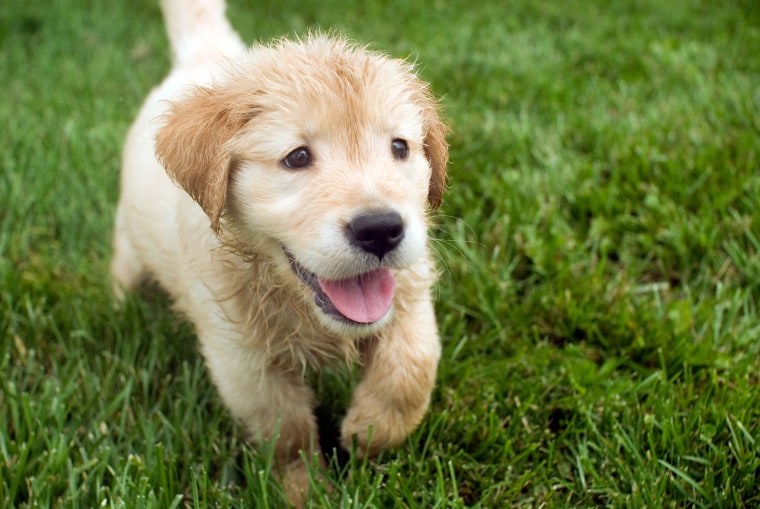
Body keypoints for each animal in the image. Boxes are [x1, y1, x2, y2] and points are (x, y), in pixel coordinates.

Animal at [110, 0, 448, 500]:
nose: (381, 230)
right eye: (297, 157)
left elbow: (411, 369)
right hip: (130, 237)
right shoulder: (242, 360)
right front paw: (307, 490)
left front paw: (369, 432)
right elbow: (287, 432)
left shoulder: (408, 298)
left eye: (399, 147)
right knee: (123, 264)